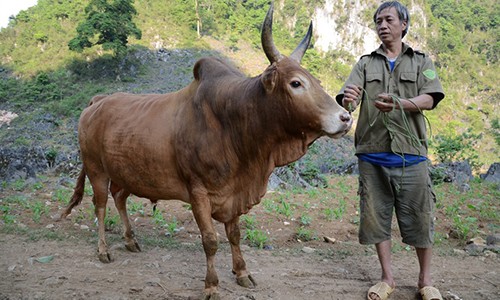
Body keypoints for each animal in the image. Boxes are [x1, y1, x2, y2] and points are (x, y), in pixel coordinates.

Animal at [59, 4, 352, 300]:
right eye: (296, 83)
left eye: (317, 81)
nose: (345, 118)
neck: (234, 124)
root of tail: (97, 101)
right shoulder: (198, 192)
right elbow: (210, 241)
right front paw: (211, 285)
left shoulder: (234, 192)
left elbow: (234, 234)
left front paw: (242, 273)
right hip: (96, 169)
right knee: (100, 206)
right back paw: (103, 250)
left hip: (125, 172)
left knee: (119, 198)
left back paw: (130, 240)